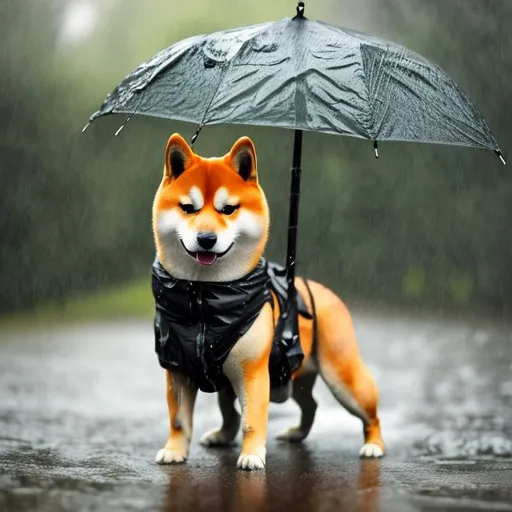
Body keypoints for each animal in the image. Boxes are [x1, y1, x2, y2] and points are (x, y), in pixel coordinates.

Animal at [152, 133, 384, 472]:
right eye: (187, 208)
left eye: (229, 209)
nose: (207, 239)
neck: (205, 296)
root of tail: (327, 294)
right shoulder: (178, 370)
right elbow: (179, 420)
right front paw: (174, 451)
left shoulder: (252, 372)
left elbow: (253, 420)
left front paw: (251, 455)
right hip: (290, 376)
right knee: (303, 405)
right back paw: (273, 434)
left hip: (342, 378)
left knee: (369, 412)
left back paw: (373, 445)